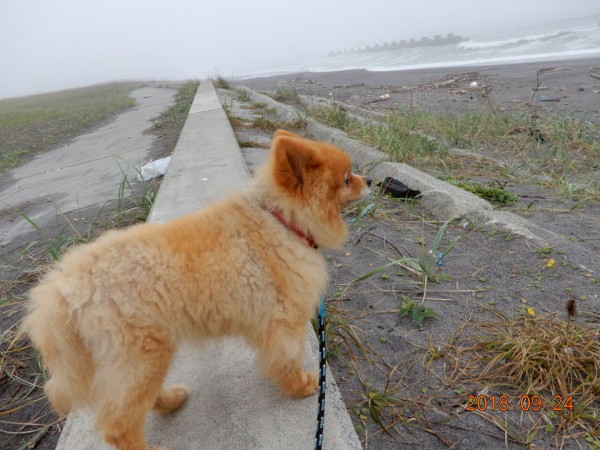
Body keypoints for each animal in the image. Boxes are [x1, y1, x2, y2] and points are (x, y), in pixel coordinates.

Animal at [23, 129, 368, 450]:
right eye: (347, 179)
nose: (368, 181)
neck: (281, 221)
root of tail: (64, 290)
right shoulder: (283, 322)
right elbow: (287, 360)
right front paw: (300, 386)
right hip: (143, 357)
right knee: (119, 426)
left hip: (141, 361)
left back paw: (171, 399)